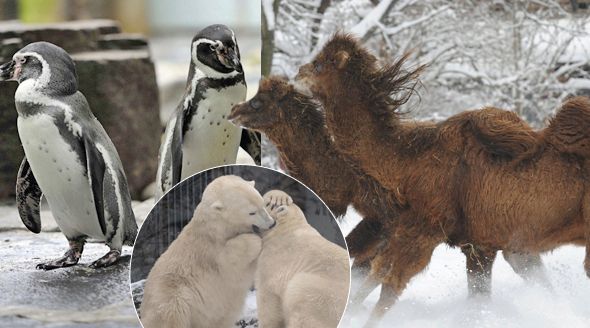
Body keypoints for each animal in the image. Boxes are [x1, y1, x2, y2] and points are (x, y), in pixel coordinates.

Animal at [140, 176, 276, 328]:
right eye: (251, 212)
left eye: (262, 204)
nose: (272, 224)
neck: (215, 226)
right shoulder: (211, 251)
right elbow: (229, 260)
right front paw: (255, 240)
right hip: (172, 293)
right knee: (172, 313)